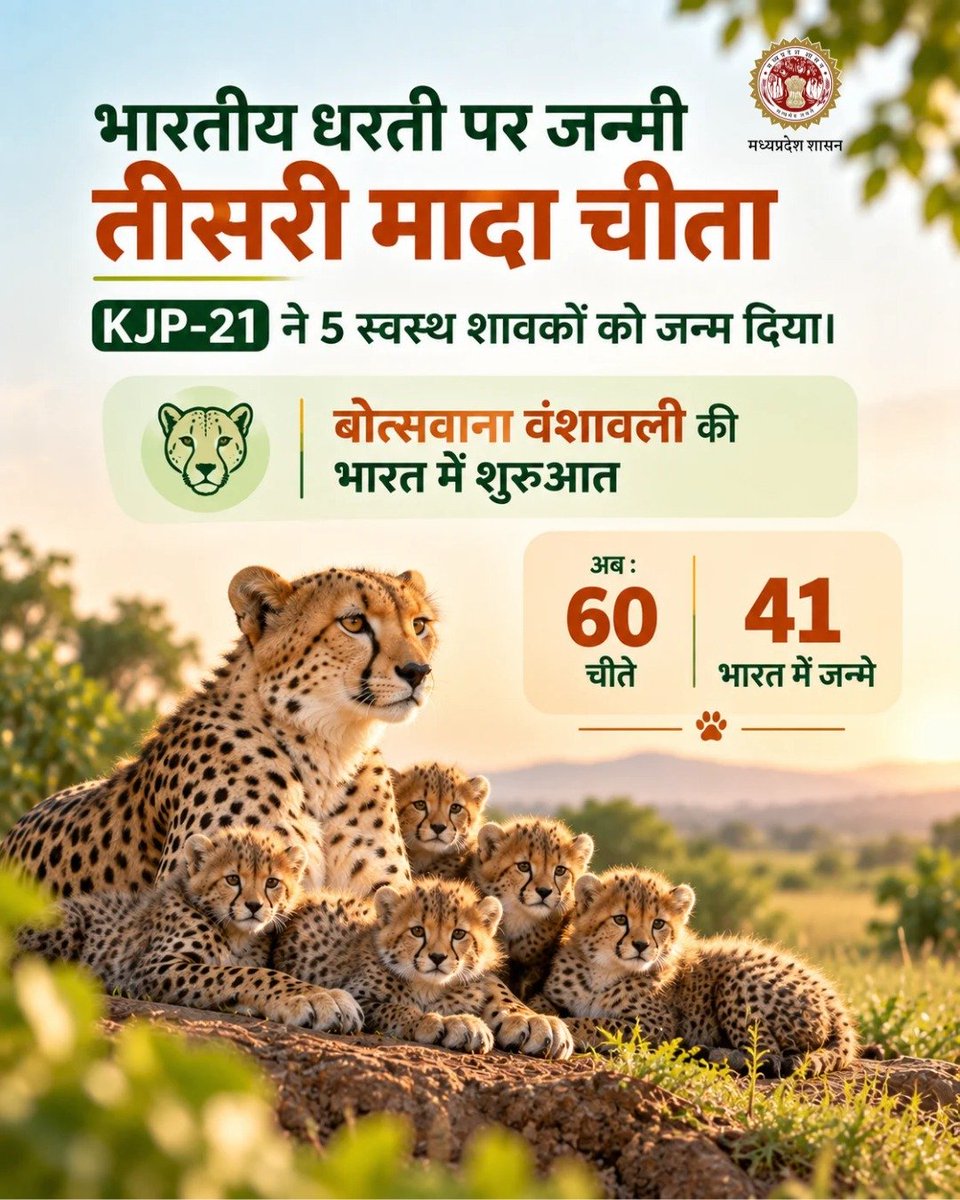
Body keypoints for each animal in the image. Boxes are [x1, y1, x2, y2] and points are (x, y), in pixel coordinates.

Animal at [17, 828, 361, 1032]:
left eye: (272, 882)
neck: (237, 933)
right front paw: (316, 999)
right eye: (232, 879)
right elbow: (249, 974)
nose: (253, 906)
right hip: (68, 920)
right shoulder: (155, 966)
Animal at [273, 876, 574, 1059]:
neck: (429, 985)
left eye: (459, 934)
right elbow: (399, 1008)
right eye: (417, 931)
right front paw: (442, 1023)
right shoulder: (360, 998)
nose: (438, 957)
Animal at [542, 867, 858, 1076]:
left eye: (658, 924)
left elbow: (595, 1022)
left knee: (769, 1056)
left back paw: (714, 1053)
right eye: (620, 919)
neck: (604, 969)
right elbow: (547, 1005)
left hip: (738, 978)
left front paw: (567, 1027)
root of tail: (834, 1002)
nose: (642, 946)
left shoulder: (655, 1026)